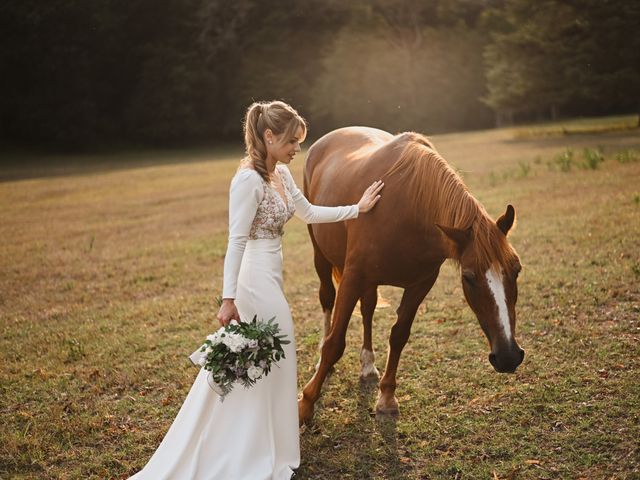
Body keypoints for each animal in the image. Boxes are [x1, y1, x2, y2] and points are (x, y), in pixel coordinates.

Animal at [298, 126, 524, 424]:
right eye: (469, 277)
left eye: (517, 270)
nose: (509, 356)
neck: (410, 209)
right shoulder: (353, 276)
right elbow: (335, 343)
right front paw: (306, 403)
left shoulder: (421, 284)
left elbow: (399, 335)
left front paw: (386, 397)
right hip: (321, 256)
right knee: (327, 300)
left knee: (368, 309)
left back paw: (368, 364)